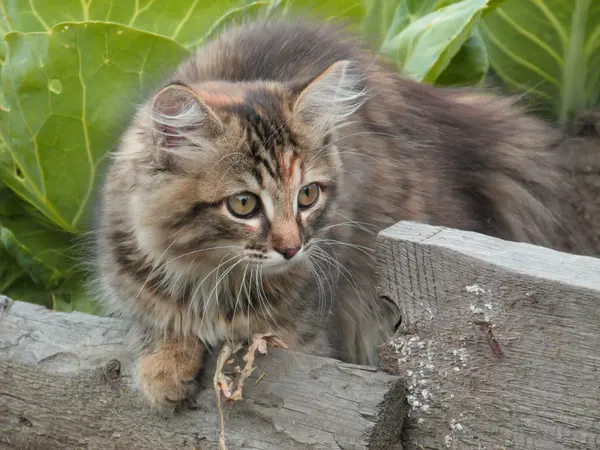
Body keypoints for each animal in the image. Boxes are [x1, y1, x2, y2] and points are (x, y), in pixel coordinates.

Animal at [96, 19, 580, 410]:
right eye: (244, 204)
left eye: (307, 195)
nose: (292, 249)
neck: (212, 274)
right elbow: (156, 323)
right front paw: (163, 369)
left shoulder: (310, 330)